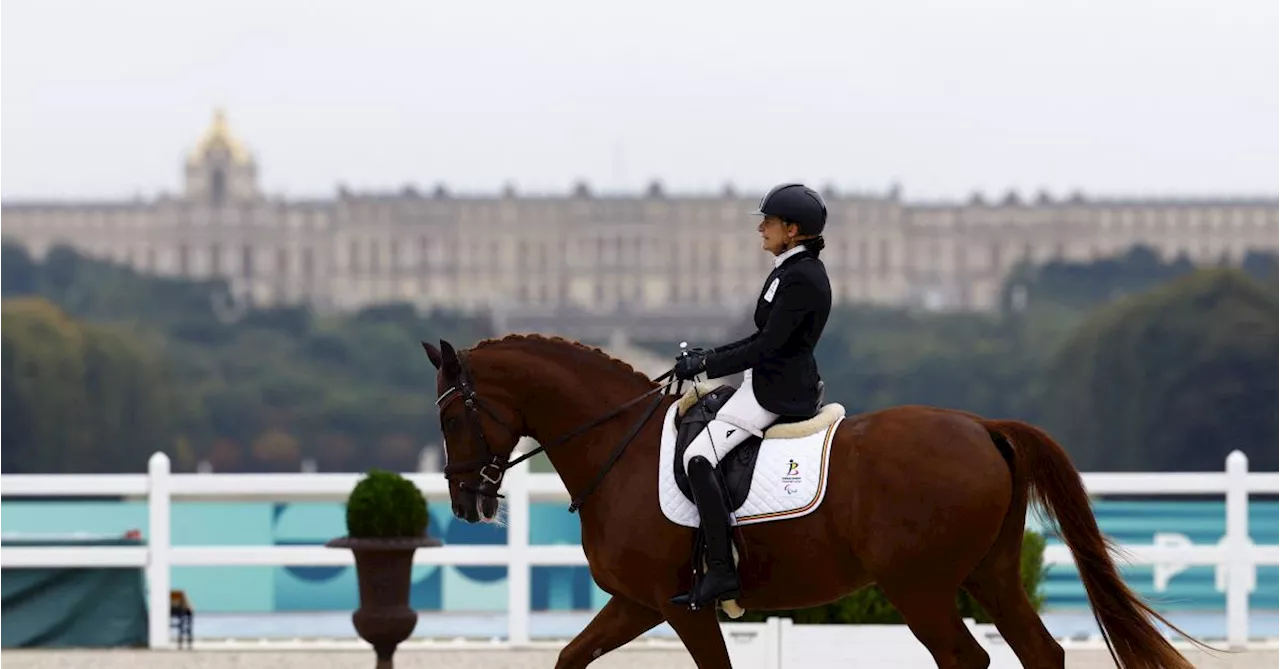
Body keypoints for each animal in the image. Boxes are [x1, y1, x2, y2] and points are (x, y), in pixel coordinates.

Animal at [424, 335, 1203, 669]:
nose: (466, 504)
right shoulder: (638, 602)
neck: (620, 446)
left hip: (919, 586)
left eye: (453, 415)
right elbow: (568, 657)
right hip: (991, 575)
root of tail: (983, 426)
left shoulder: (683, 607)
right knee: (1040, 653)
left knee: (966, 659)